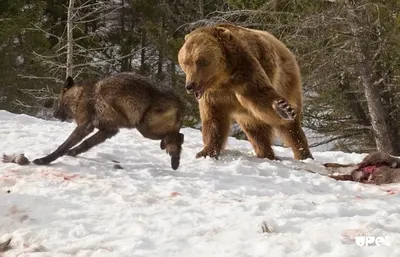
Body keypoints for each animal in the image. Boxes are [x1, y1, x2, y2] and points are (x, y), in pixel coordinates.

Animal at [177, 23, 312, 160]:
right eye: (185, 62)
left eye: (202, 61)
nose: (190, 85)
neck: (222, 79)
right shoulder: (212, 96)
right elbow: (213, 120)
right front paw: (206, 151)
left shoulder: (245, 73)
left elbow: (261, 95)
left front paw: (283, 108)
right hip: (245, 114)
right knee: (255, 129)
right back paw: (265, 153)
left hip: (286, 79)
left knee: (290, 127)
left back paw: (303, 154)